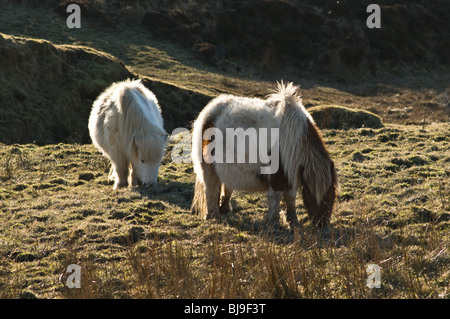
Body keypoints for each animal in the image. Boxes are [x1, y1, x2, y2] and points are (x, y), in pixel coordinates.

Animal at [191, 82, 338, 228]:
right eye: (308, 191)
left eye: (331, 189)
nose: (321, 223)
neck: (292, 138)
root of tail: (209, 113)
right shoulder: (276, 176)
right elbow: (276, 197)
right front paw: (274, 222)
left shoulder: (291, 174)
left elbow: (291, 198)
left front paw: (294, 221)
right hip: (209, 170)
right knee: (211, 189)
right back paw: (213, 215)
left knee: (226, 188)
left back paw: (225, 210)